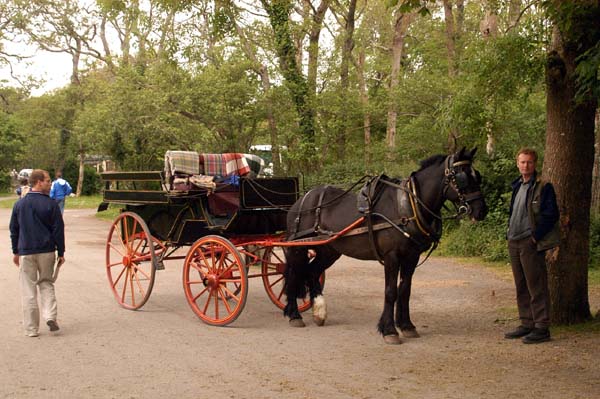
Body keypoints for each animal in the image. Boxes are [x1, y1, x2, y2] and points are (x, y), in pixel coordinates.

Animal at [282, 148, 488, 346]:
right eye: (462, 177)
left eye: (477, 175)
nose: (482, 211)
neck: (407, 207)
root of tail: (303, 199)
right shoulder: (392, 256)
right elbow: (390, 291)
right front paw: (389, 330)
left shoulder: (412, 256)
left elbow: (405, 290)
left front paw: (406, 326)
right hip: (298, 247)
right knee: (293, 274)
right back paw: (294, 315)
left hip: (328, 250)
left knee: (312, 272)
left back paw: (319, 312)